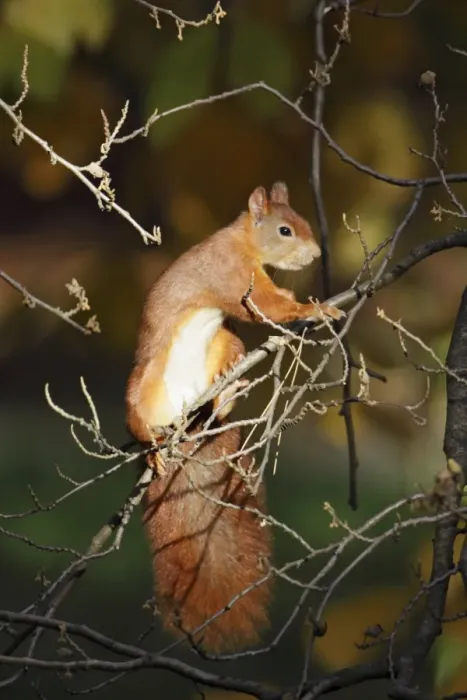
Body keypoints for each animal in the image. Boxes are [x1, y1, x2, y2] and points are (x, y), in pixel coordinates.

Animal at [125, 182, 343, 652]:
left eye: (302, 220)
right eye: (285, 229)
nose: (316, 254)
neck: (242, 240)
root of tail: (184, 422)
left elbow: (272, 306)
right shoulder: (232, 275)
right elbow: (266, 306)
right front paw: (315, 310)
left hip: (228, 342)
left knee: (223, 384)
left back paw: (228, 392)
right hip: (142, 387)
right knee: (136, 419)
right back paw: (151, 447)